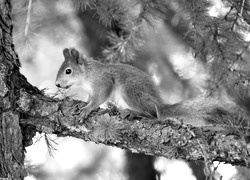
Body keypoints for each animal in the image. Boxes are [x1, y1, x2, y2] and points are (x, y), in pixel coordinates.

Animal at [55, 47, 244, 126]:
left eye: (68, 71)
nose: (57, 84)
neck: (87, 75)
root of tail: (159, 103)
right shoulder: (91, 90)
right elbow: (91, 97)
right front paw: (85, 104)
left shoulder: (103, 81)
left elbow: (100, 97)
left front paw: (88, 108)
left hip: (131, 91)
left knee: (154, 115)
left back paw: (134, 112)